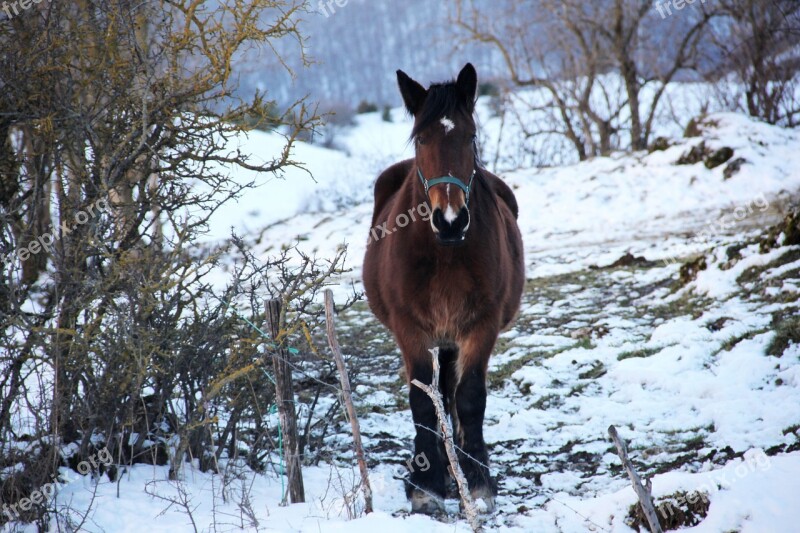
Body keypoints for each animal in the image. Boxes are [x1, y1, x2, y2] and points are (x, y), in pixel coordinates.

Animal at [362, 64, 524, 512]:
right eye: (421, 138)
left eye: (470, 136)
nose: (450, 220)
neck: (445, 253)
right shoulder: (410, 329)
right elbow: (422, 402)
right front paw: (426, 485)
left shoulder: (481, 326)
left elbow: (469, 398)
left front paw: (477, 480)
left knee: (451, 395)